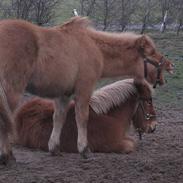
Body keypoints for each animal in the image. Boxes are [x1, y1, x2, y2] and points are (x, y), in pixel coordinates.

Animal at [15, 79, 157, 154]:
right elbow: (132, 145)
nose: (153, 126)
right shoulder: (114, 145)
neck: (109, 116)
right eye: (149, 101)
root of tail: (21, 112)